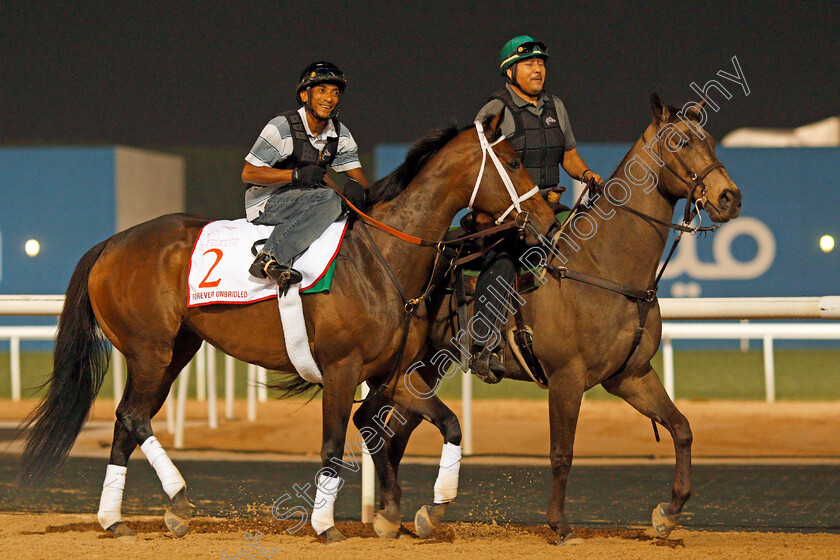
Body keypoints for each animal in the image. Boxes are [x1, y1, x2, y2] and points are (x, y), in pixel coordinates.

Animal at [16, 112, 556, 544]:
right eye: (512, 162)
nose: (548, 216)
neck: (382, 258)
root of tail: (111, 243)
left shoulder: (394, 376)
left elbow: (448, 424)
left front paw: (431, 507)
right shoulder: (341, 370)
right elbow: (334, 446)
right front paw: (325, 524)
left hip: (176, 352)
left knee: (127, 423)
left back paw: (117, 519)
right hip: (149, 351)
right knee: (132, 416)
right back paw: (178, 498)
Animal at [354, 95, 740, 544]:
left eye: (709, 139)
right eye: (680, 142)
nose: (730, 197)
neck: (600, 266)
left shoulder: (631, 375)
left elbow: (681, 427)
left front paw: (668, 512)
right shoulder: (566, 378)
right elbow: (561, 453)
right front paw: (561, 525)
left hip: (423, 370)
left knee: (391, 431)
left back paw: (405, 514)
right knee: (374, 423)